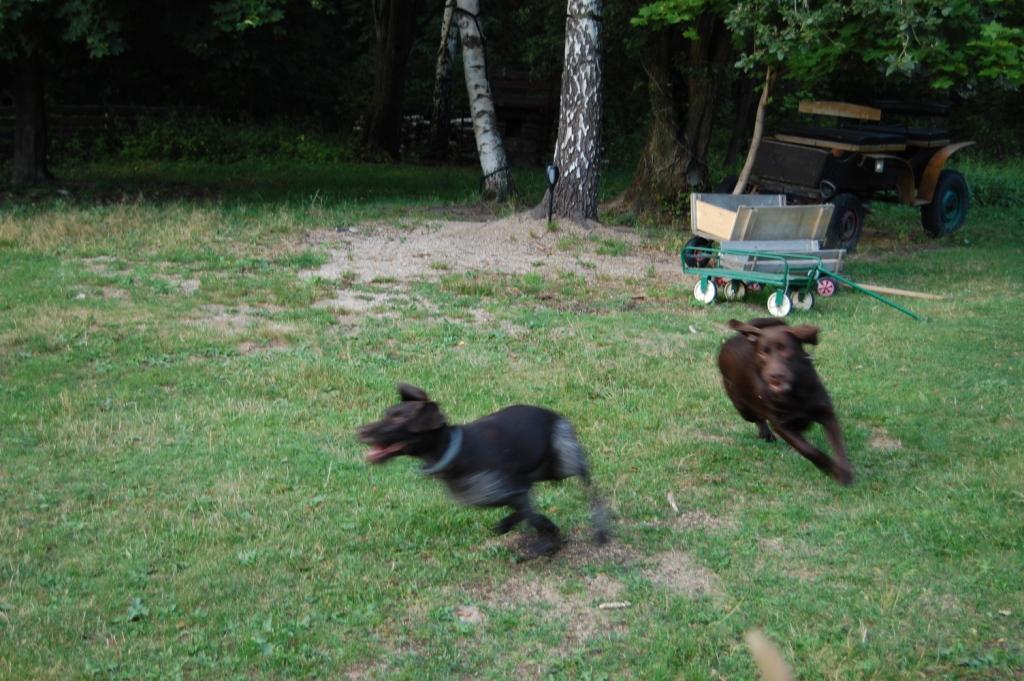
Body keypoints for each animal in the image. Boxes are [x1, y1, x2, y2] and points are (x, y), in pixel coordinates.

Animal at [357, 384, 610, 556]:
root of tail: (555, 415)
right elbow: (532, 514)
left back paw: (601, 529)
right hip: (548, 470)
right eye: (387, 414)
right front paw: (548, 536)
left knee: (588, 481)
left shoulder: (515, 488)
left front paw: (544, 541)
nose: (361, 431)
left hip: (563, 461)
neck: (455, 449)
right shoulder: (511, 492)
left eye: (400, 419)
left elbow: (529, 514)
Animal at [718, 318, 853, 485]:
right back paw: (766, 434)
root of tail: (732, 340)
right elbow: (809, 450)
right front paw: (830, 469)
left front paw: (844, 473)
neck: (794, 393)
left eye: (785, 349)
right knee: (758, 418)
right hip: (743, 407)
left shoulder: (826, 412)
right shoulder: (781, 425)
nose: (775, 376)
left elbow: (839, 445)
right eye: (762, 353)